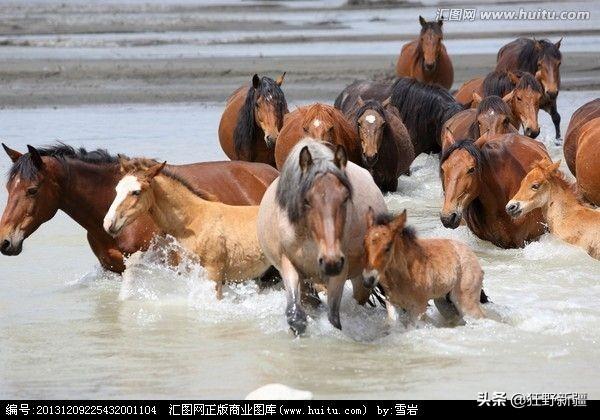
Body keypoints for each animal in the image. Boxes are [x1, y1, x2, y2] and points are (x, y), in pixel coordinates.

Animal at [258, 141, 390, 334]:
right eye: (306, 200)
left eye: (345, 198)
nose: (331, 261)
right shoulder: (287, 263)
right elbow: (295, 315)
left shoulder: (341, 270)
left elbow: (334, 318)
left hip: (358, 277)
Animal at [360, 208, 488, 324]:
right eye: (364, 244)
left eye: (388, 246)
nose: (368, 280)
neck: (404, 274)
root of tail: (472, 255)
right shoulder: (392, 303)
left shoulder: (418, 308)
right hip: (443, 302)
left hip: (466, 302)